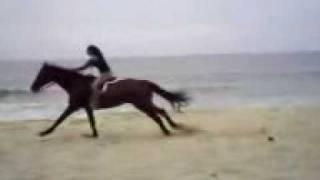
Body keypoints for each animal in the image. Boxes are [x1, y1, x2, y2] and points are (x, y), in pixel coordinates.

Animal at [29, 62, 190, 137]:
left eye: (41, 74)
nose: (33, 88)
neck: (76, 83)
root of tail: (145, 82)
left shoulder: (73, 106)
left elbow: (59, 119)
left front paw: (45, 132)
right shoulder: (87, 107)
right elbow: (92, 121)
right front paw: (94, 135)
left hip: (142, 104)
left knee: (157, 116)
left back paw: (167, 131)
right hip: (143, 103)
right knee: (161, 111)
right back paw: (174, 126)